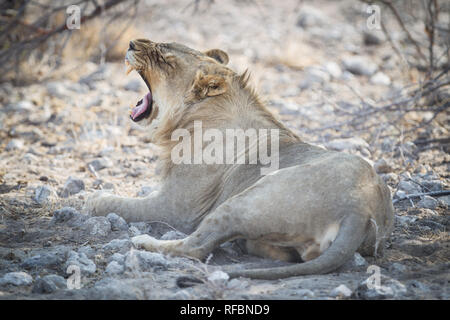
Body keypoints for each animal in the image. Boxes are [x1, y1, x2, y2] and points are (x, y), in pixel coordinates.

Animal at [85, 39, 394, 280]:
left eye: (165, 59)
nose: (131, 44)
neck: (194, 116)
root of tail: (359, 207)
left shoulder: (177, 208)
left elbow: (121, 203)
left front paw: (92, 199)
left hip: (246, 199)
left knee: (195, 247)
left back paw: (142, 241)